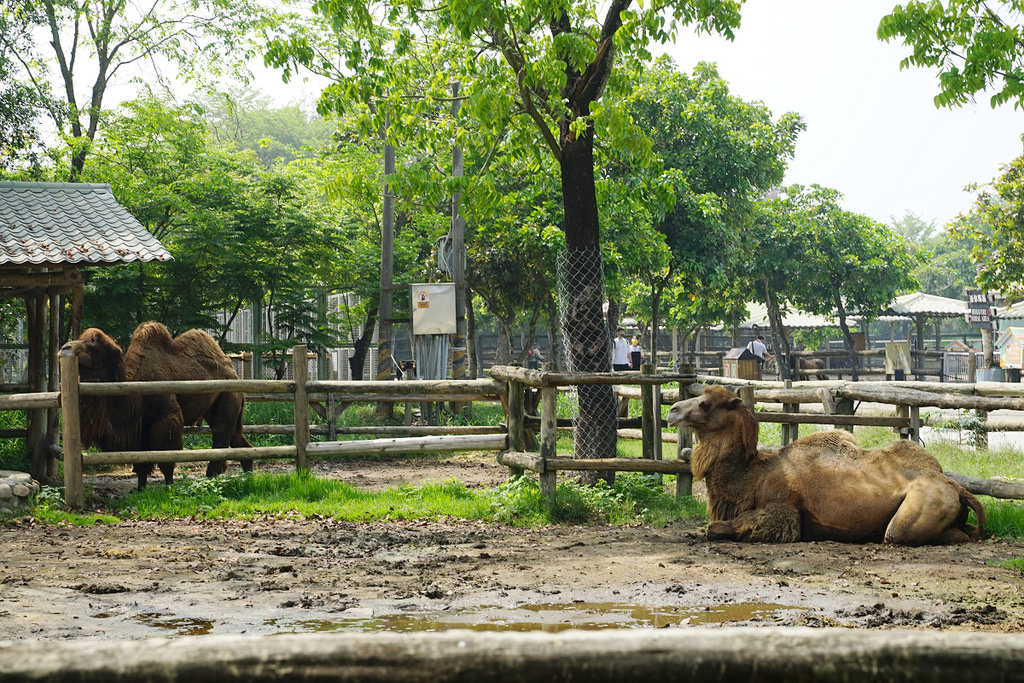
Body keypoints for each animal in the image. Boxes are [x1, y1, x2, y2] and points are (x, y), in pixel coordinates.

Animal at [663, 387, 983, 548]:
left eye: (705, 404)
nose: (673, 410)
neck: (755, 475)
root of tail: (957, 488)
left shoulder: (782, 510)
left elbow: (716, 527)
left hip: (919, 508)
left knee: (899, 533)